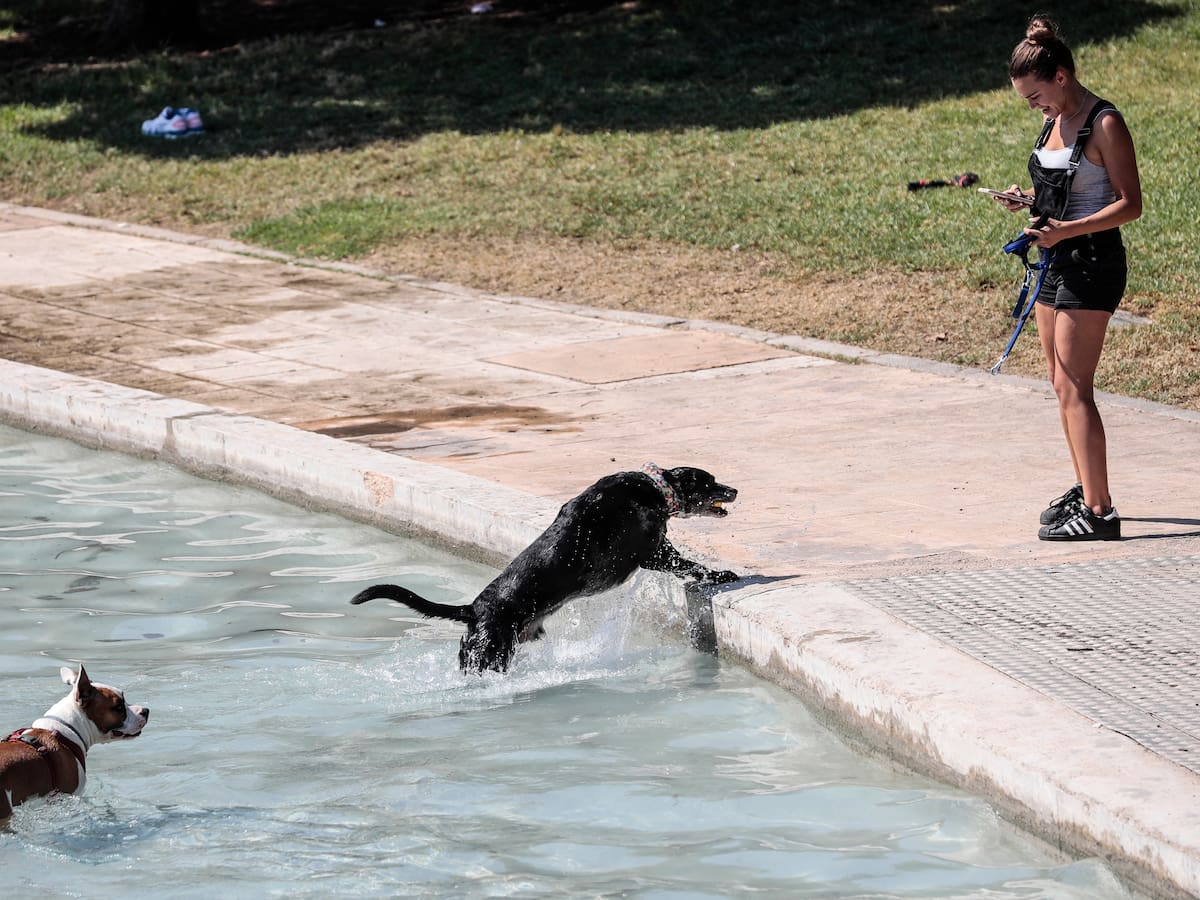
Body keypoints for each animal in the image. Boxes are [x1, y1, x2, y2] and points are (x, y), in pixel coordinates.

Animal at [351, 463, 739, 673]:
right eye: (709, 481)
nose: (734, 489)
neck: (655, 490)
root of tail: (473, 609)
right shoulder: (654, 553)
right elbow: (693, 566)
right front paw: (723, 575)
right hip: (491, 653)